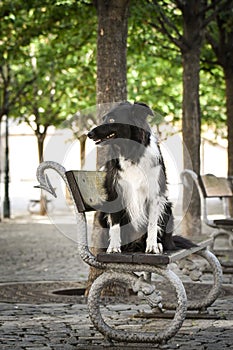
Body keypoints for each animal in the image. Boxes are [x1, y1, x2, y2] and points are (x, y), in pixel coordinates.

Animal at [87, 101, 195, 254]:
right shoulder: (114, 191)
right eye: (103, 118)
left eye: (112, 120)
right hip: (102, 211)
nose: (89, 134)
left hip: (167, 207)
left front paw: (152, 246)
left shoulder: (155, 194)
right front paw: (113, 247)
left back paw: (160, 245)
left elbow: (152, 225)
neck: (130, 153)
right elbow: (115, 225)